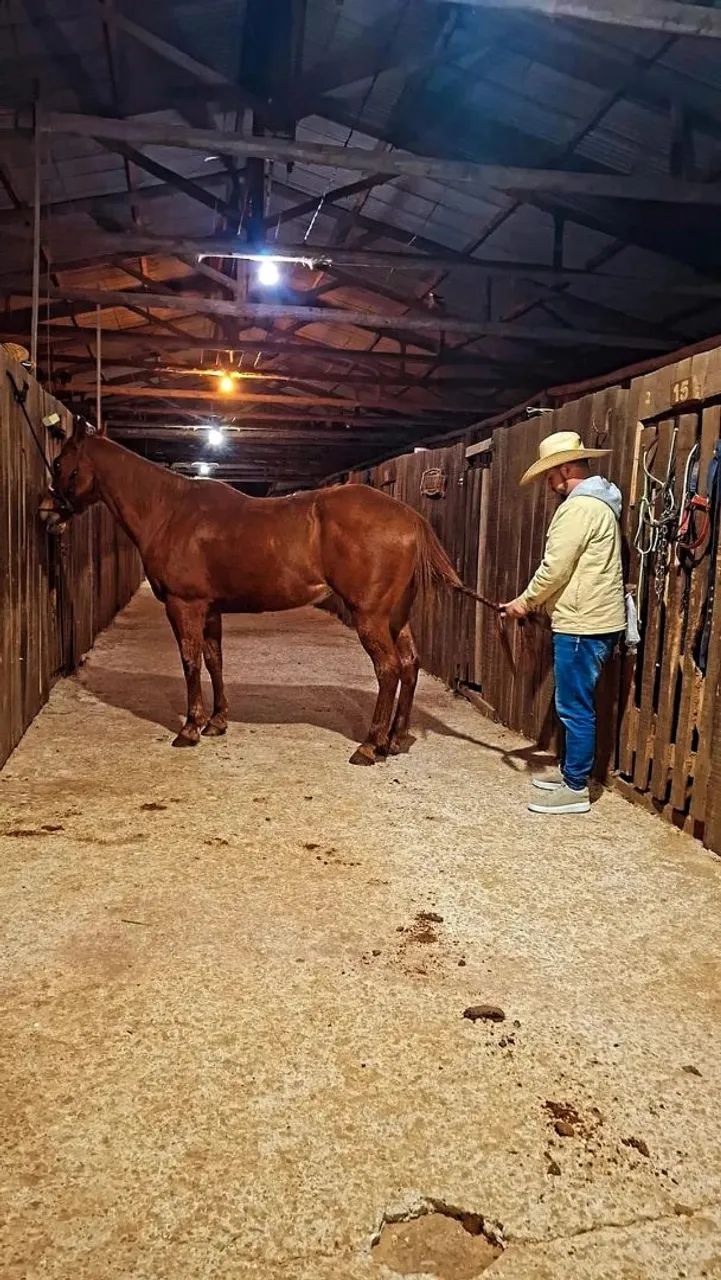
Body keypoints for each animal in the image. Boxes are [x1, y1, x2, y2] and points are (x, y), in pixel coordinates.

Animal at [39, 420, 495, 764]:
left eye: (60, 462)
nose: (45, 513)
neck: (169, 511)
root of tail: (410, 517)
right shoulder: (210, 609)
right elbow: (214, 660)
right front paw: (217, 721)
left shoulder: (184, 606)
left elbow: (189, 661)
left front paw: (189, 728)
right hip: (394, 616)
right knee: (411, 664)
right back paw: (395, 739)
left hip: (370, 617)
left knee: (389, 669)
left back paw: (370, 745)